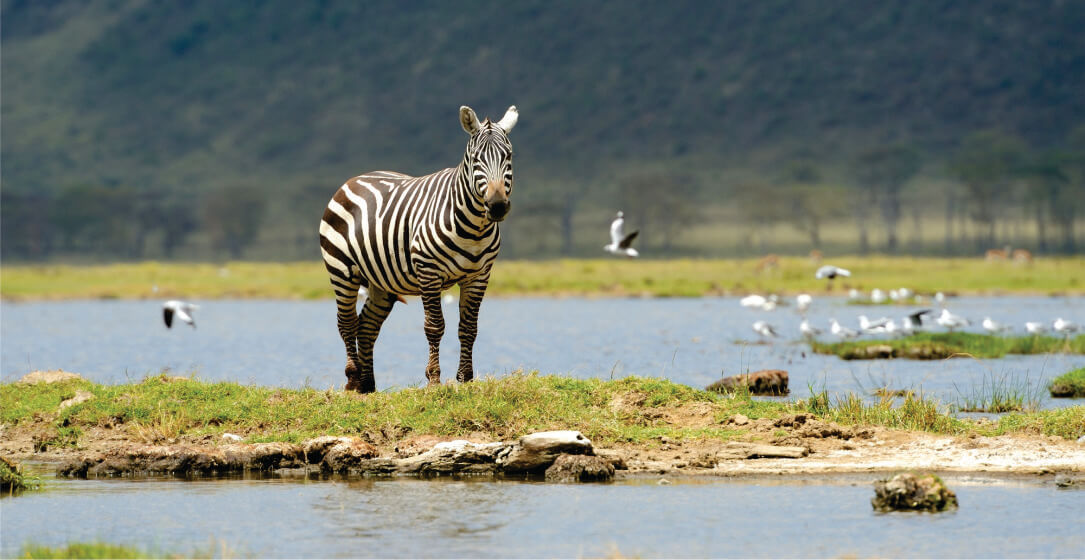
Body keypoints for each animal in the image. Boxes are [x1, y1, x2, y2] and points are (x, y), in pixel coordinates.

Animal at [319, 105, 518, 393]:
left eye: (508, 156)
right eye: (475, 159)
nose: (498, 205)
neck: (474, 228)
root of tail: (355, 178)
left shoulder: (479, 276)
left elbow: (469, 328)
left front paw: (466, 379)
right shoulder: (428, 271)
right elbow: (435, 326)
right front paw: (434, 379)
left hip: (382, 282)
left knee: (367, 326)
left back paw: (368, 385)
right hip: (342, 270)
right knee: (347, 322)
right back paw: (353, 380)